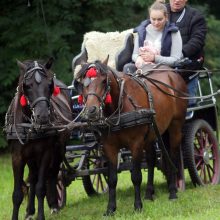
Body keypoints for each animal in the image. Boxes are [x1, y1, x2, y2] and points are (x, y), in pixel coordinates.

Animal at [4, 58, 72, 220]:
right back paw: (30, 211)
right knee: (33, 178)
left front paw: (41, 215)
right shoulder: (17, 157)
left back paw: (54, 205)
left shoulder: (46, 153)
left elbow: (41, 187)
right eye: (27, 85)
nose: (43, 116)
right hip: (31, 157)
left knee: (52, 174)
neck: (30, 124)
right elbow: (17, 194)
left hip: (59, 149)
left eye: (49, 85)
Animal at [74, 59, 187, 216]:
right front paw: (110, 209)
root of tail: (173, 73)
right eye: (83, 83)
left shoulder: (136, 144)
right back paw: (149, 194)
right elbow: (112, 179)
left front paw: (137, 206)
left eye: (104, 81)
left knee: (173, 155)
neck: (120, 105)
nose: (91, 110)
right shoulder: (109, 147)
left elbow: (136, 176)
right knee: (152, 159)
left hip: (175, 126)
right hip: (152, 133)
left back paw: (173, 192)